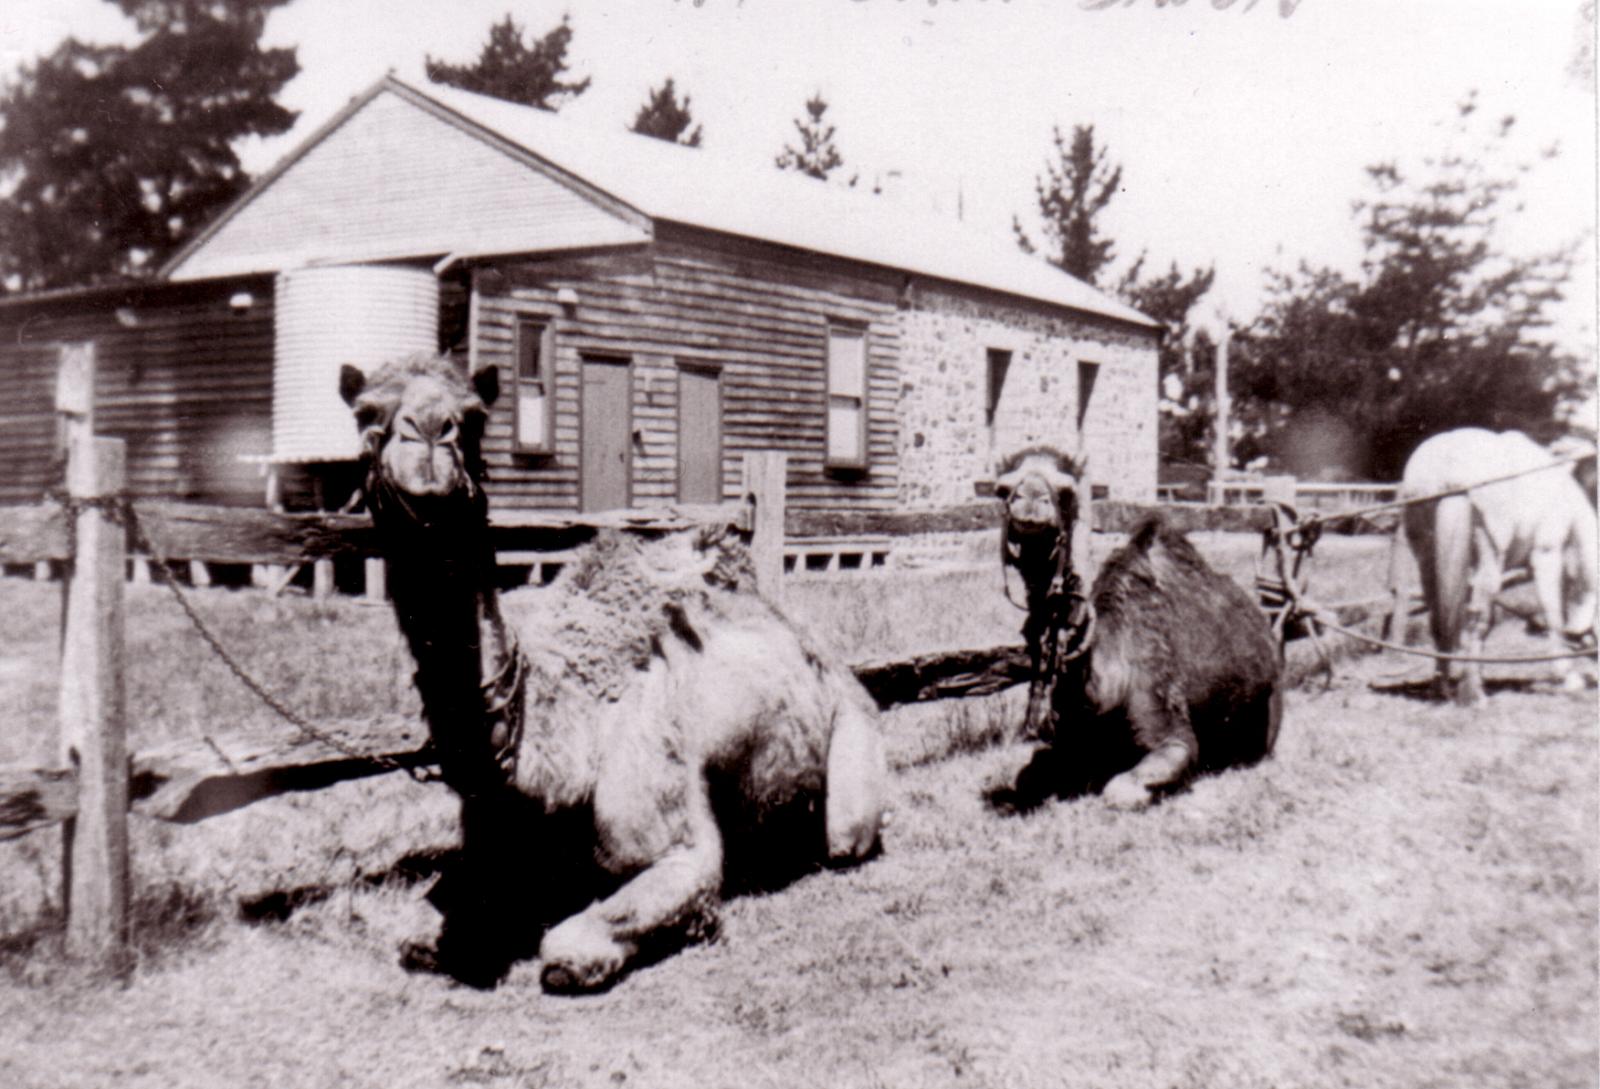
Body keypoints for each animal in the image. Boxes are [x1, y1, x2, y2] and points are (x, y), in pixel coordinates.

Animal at [339, 351, 889, 991]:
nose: (427, 434)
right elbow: (417, 934)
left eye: (474, 416)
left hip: (853, 750)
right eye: (366, 413)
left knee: (845, 835)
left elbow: (570, 948)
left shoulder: (679, 848)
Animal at [992, 444, 1280, 812]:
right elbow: (1027, 777)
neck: (1105, 684)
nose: (1030, 498)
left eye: (1067, 491)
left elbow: (1122, 788)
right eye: (1002, 489)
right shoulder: (1066, 739)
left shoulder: (1170, 724)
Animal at [1408, 428, 1593, 700]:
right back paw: (1473, 694)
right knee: (1476, 617)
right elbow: (1553, 614)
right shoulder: (1547, 555)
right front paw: (1568, 677)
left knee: (1439, 617)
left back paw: (1443, 687)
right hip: (1489, 554)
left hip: (1426, 556)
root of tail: (1450, 471)